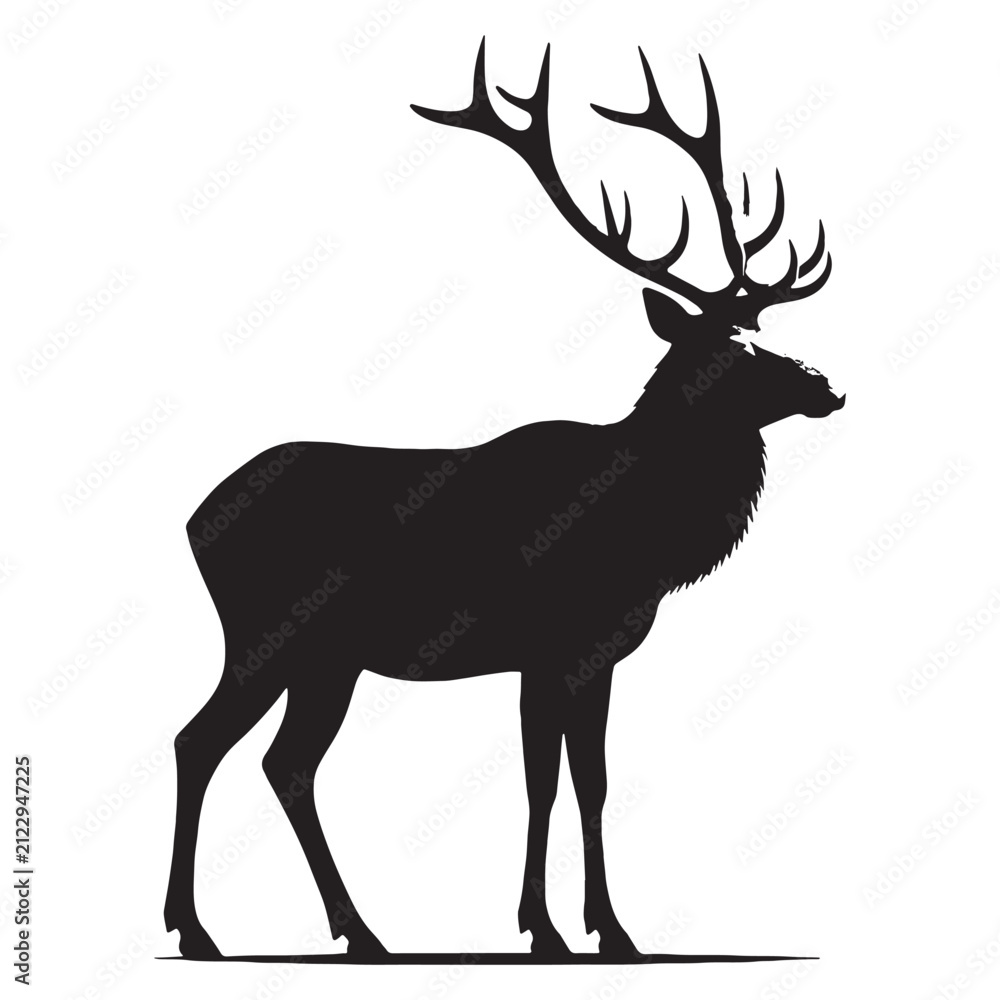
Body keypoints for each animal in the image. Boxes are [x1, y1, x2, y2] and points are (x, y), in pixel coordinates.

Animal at [164, 40, 843, 961]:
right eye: (727, 351)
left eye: (760, 338)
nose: (826, 385)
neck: (650, 537)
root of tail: (194, 521)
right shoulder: (553, 645)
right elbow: (549, 783)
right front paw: (558, 930)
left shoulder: (584, 655)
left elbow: (583, 781)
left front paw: (600, 929)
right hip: (268, 635)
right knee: (202, 741)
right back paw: (201, 929)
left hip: (325, 657)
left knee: (282, 762)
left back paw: (356, 931)